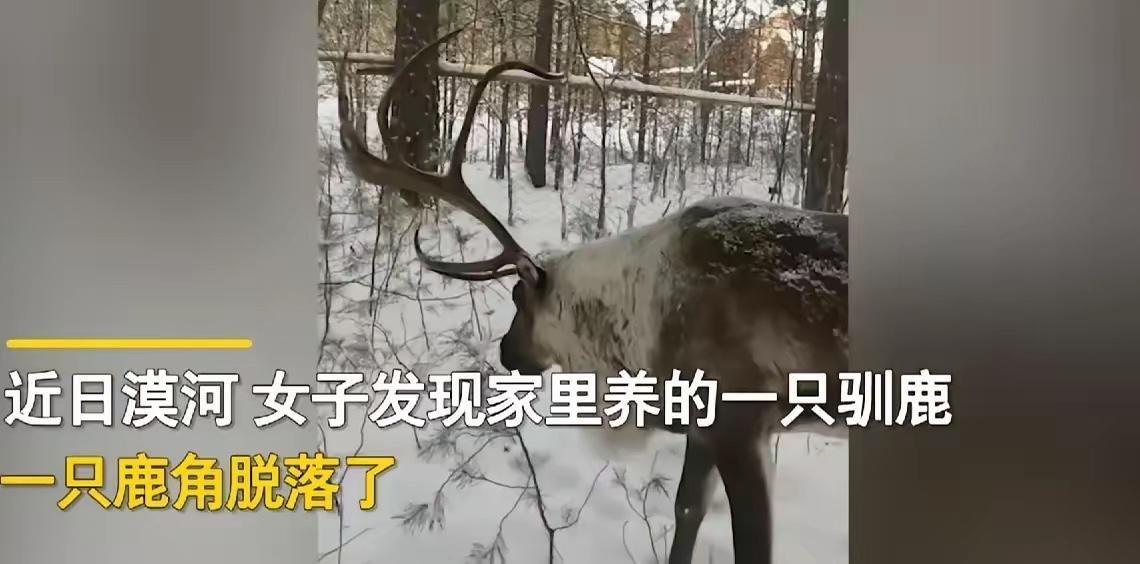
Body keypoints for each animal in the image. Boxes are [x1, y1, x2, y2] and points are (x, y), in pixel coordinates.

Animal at [333, 28, 849, 564]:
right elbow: (687, 508)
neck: (638, 329)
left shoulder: (740, 423)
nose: (506, 353)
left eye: (518, 297)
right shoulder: (703, 427)